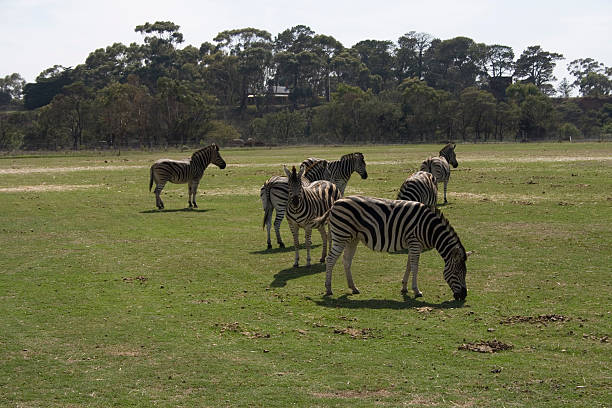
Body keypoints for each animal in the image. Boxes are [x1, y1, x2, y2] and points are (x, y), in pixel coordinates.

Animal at [322, 196, 470, 302]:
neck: (429, 228)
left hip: (352, 238)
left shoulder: (413, 244)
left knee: (346, 261)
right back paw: (328, 289)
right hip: (341, 236)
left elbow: (409, 265)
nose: (464, 296)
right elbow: (415, 267)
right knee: (330, 260)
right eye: (458, 273)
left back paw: (353, 288)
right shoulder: (415, 243)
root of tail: (335, 203)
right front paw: (416, 290)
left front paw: (404, 287)